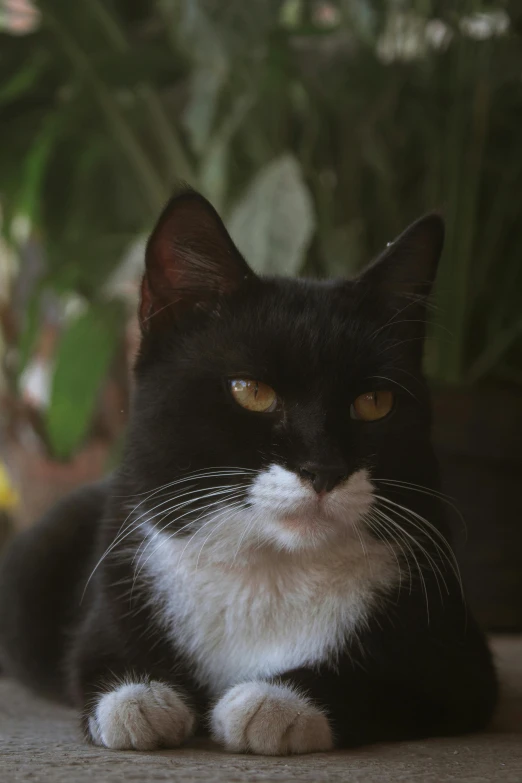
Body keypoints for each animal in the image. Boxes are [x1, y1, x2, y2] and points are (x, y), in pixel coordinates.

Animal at [0, 190, 496, 752]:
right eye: (252, 392)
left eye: (374, 403)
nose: (323, 468)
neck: (271, 569)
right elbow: (92, 658)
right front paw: (139, 700)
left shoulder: (457, 658)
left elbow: (385, 680)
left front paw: (272, 703)